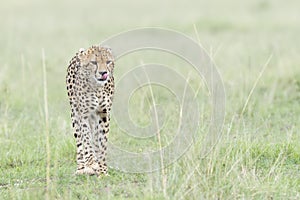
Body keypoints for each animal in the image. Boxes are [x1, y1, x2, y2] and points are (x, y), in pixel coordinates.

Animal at [66, 45, 114, 177]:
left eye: (108, 62)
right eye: (93, 62)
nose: (103, 73)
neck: (97, 87)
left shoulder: (103, 114)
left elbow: (102, 142)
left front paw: (102, 170)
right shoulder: (83, 114)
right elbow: (86, 139)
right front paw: (92, 163)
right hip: (74, 113)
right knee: (79, 141)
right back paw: (82, 168)